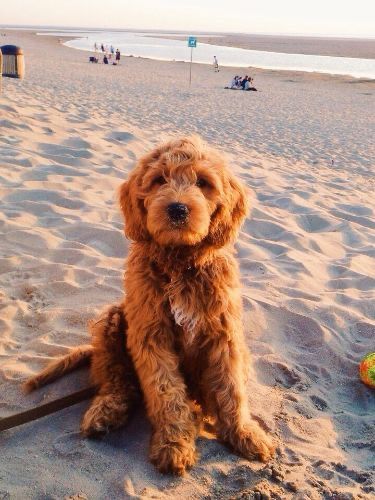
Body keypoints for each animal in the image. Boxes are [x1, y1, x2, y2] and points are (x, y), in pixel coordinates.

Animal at [25, 135, 274, 474]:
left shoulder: (224, 333)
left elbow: (231, 387)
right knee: (119, 381)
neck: (180, 263)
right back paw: (107, 410)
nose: (177, 209)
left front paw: (243, 433)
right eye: (159, 180)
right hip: (113, 320)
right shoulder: (150, 333)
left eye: (204, 182)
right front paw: (174, 442)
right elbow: (165, 391)